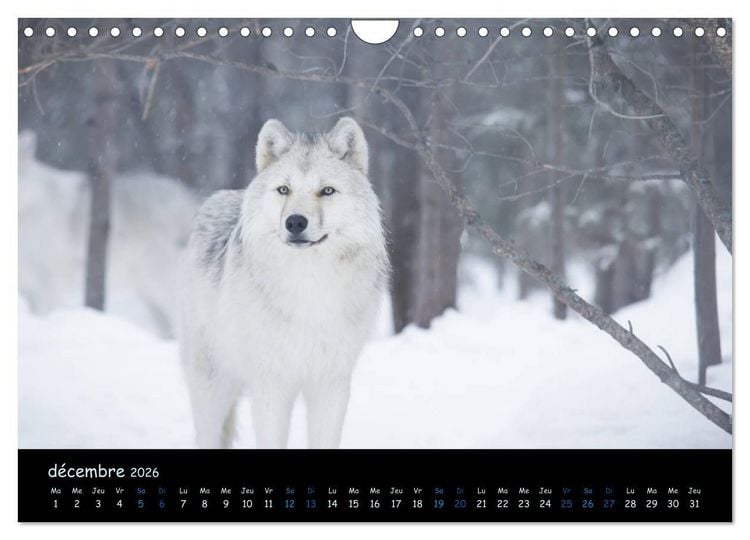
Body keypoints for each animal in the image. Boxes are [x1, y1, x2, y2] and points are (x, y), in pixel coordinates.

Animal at [179, 117, 389, 449]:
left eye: (327, 190)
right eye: (284, 189)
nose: (295, 222)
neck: (309, 287)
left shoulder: (331, 384)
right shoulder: (271, 384)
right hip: (212, 380)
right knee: (207, 435)